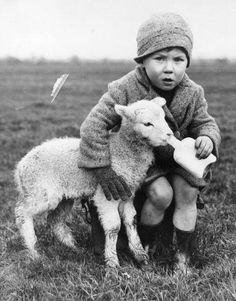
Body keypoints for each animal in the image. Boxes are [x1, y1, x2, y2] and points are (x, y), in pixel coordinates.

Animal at [15, 97, 173, 266]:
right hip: (40, 191)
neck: (123, 150)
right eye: (147, 124)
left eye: (164, 118)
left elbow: (132, 222)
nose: (169, 135)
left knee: (55, 219)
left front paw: (140, 255)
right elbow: (114, 226)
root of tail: (20, 166)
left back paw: (72, 247)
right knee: (21, 212)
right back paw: (33, 251)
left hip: (64, 195)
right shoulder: (108, 194)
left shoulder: (128, 194)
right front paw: (112, 261)